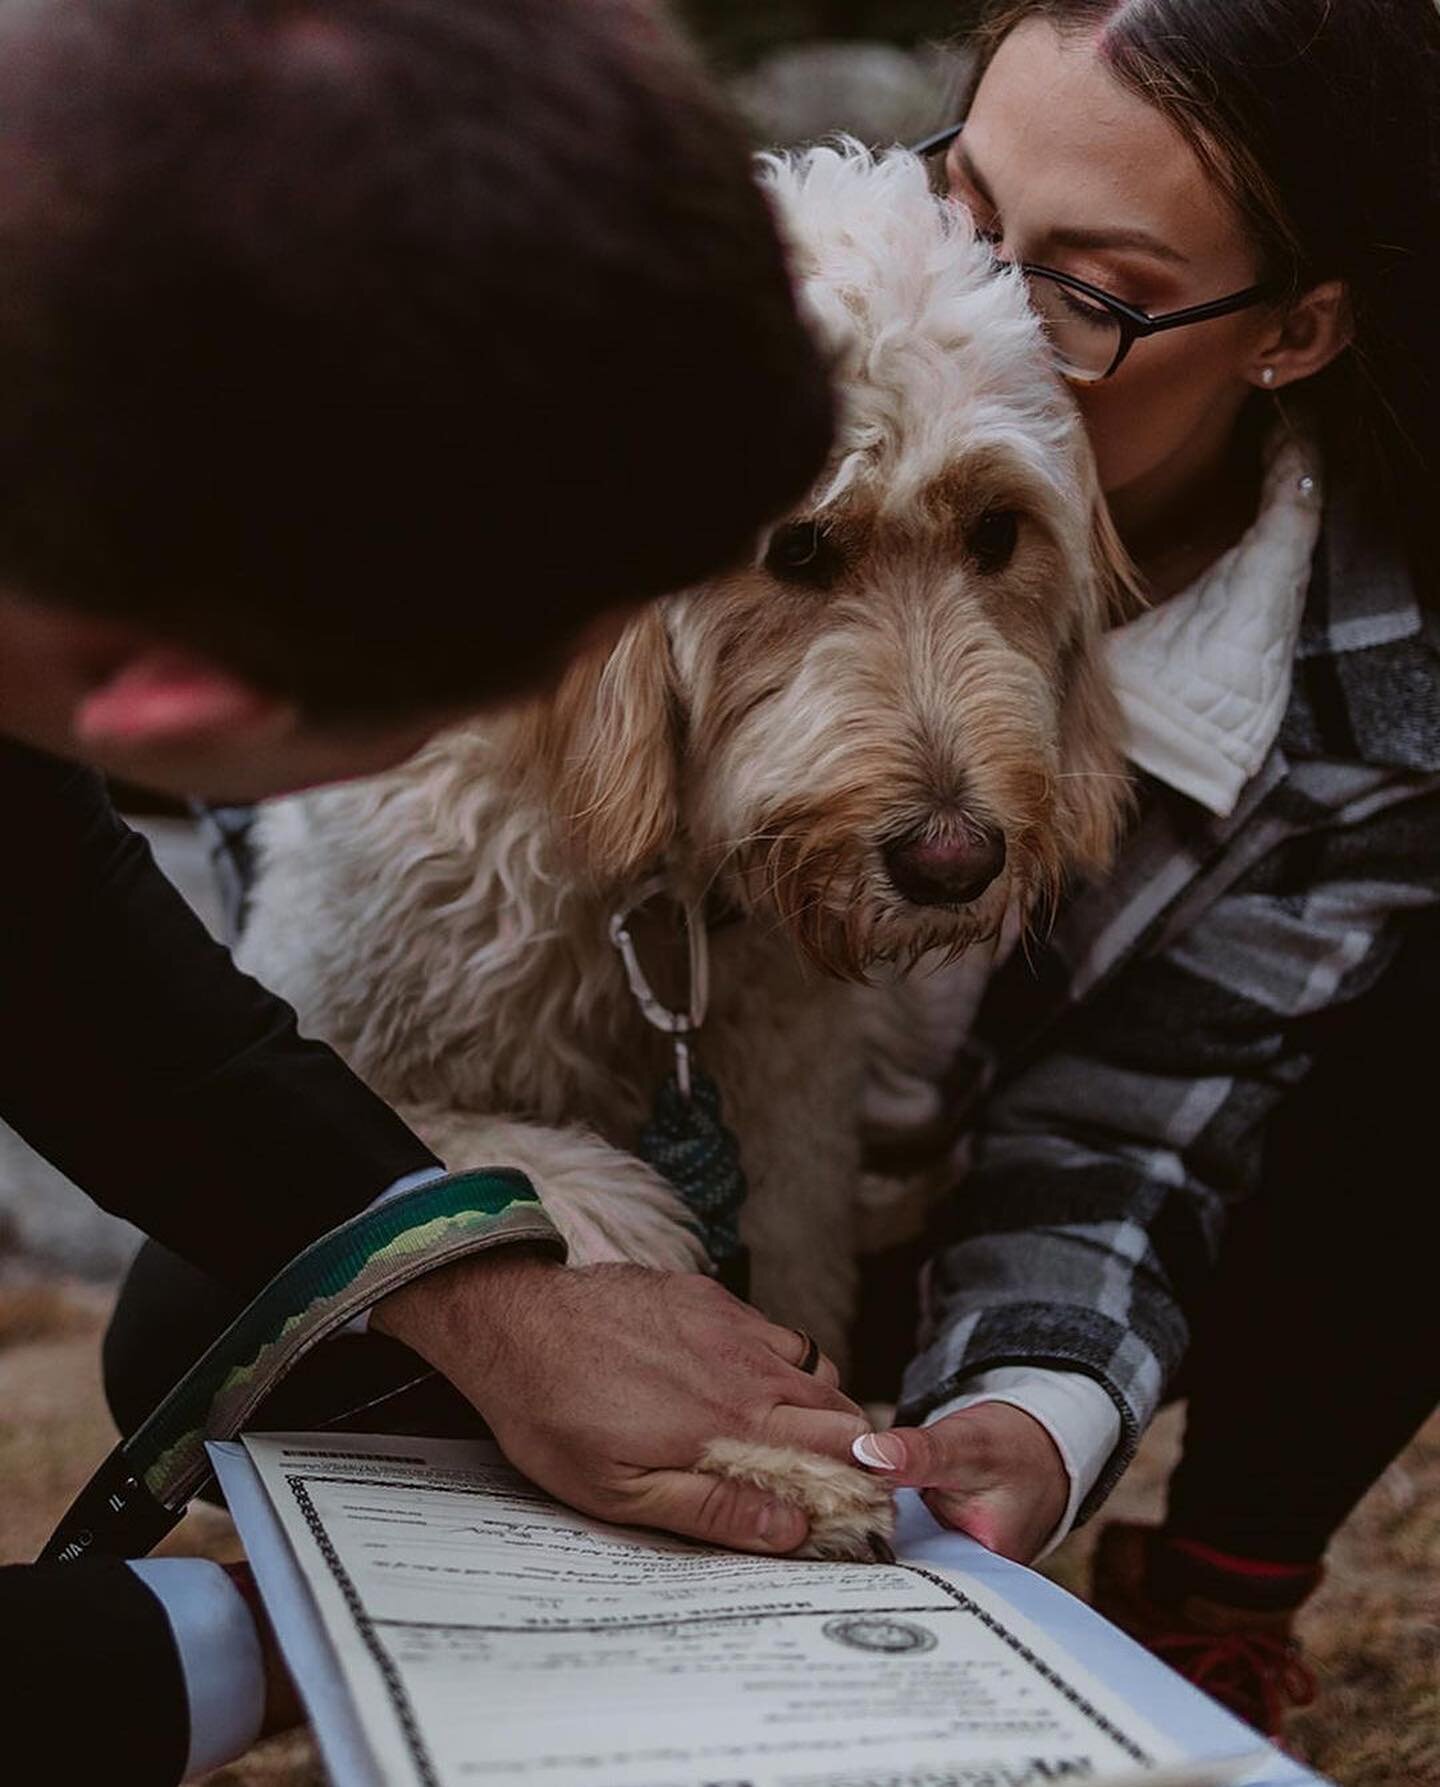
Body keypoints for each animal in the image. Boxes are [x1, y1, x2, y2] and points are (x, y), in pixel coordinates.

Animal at [242, 146, 1136, 1558]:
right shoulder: (325, 1003)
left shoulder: (791, 1107)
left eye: (998, 534)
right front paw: (763, 1440)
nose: (954, 859)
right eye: (798, 546)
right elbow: (487, 1168)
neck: (648, 877)